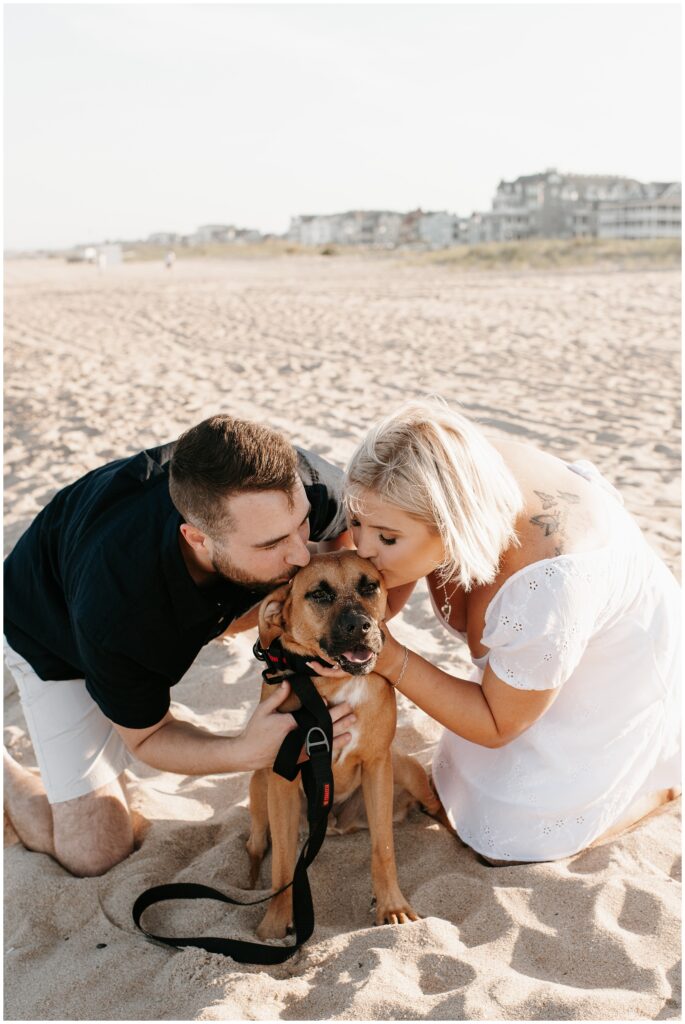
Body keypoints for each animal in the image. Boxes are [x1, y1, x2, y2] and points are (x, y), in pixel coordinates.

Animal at [244, 548, 438, 937]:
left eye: (369, 586)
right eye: (319, 594)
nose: (360, 626)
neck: (335, 683)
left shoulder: (378, 765)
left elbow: (383, 849)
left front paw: (392, 907)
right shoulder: (282, 780)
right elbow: (283, 865)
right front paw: (275, 923)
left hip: (406, 769)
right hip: (259, 784)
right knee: (256, 845)